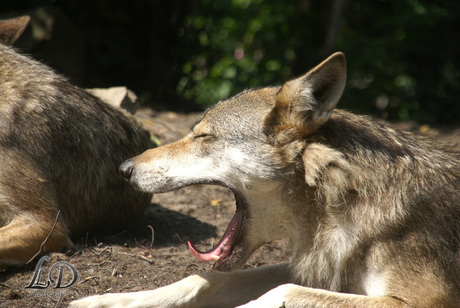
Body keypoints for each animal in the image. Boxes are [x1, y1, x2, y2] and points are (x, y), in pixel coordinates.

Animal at [71, 51, 456, 306]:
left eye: (203, 137)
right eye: (195, 132)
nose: (124, 168)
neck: (340, 202)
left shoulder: (421, 301)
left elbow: (280, 293)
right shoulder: (309, 268)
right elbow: (200, 279)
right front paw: (107, 301)